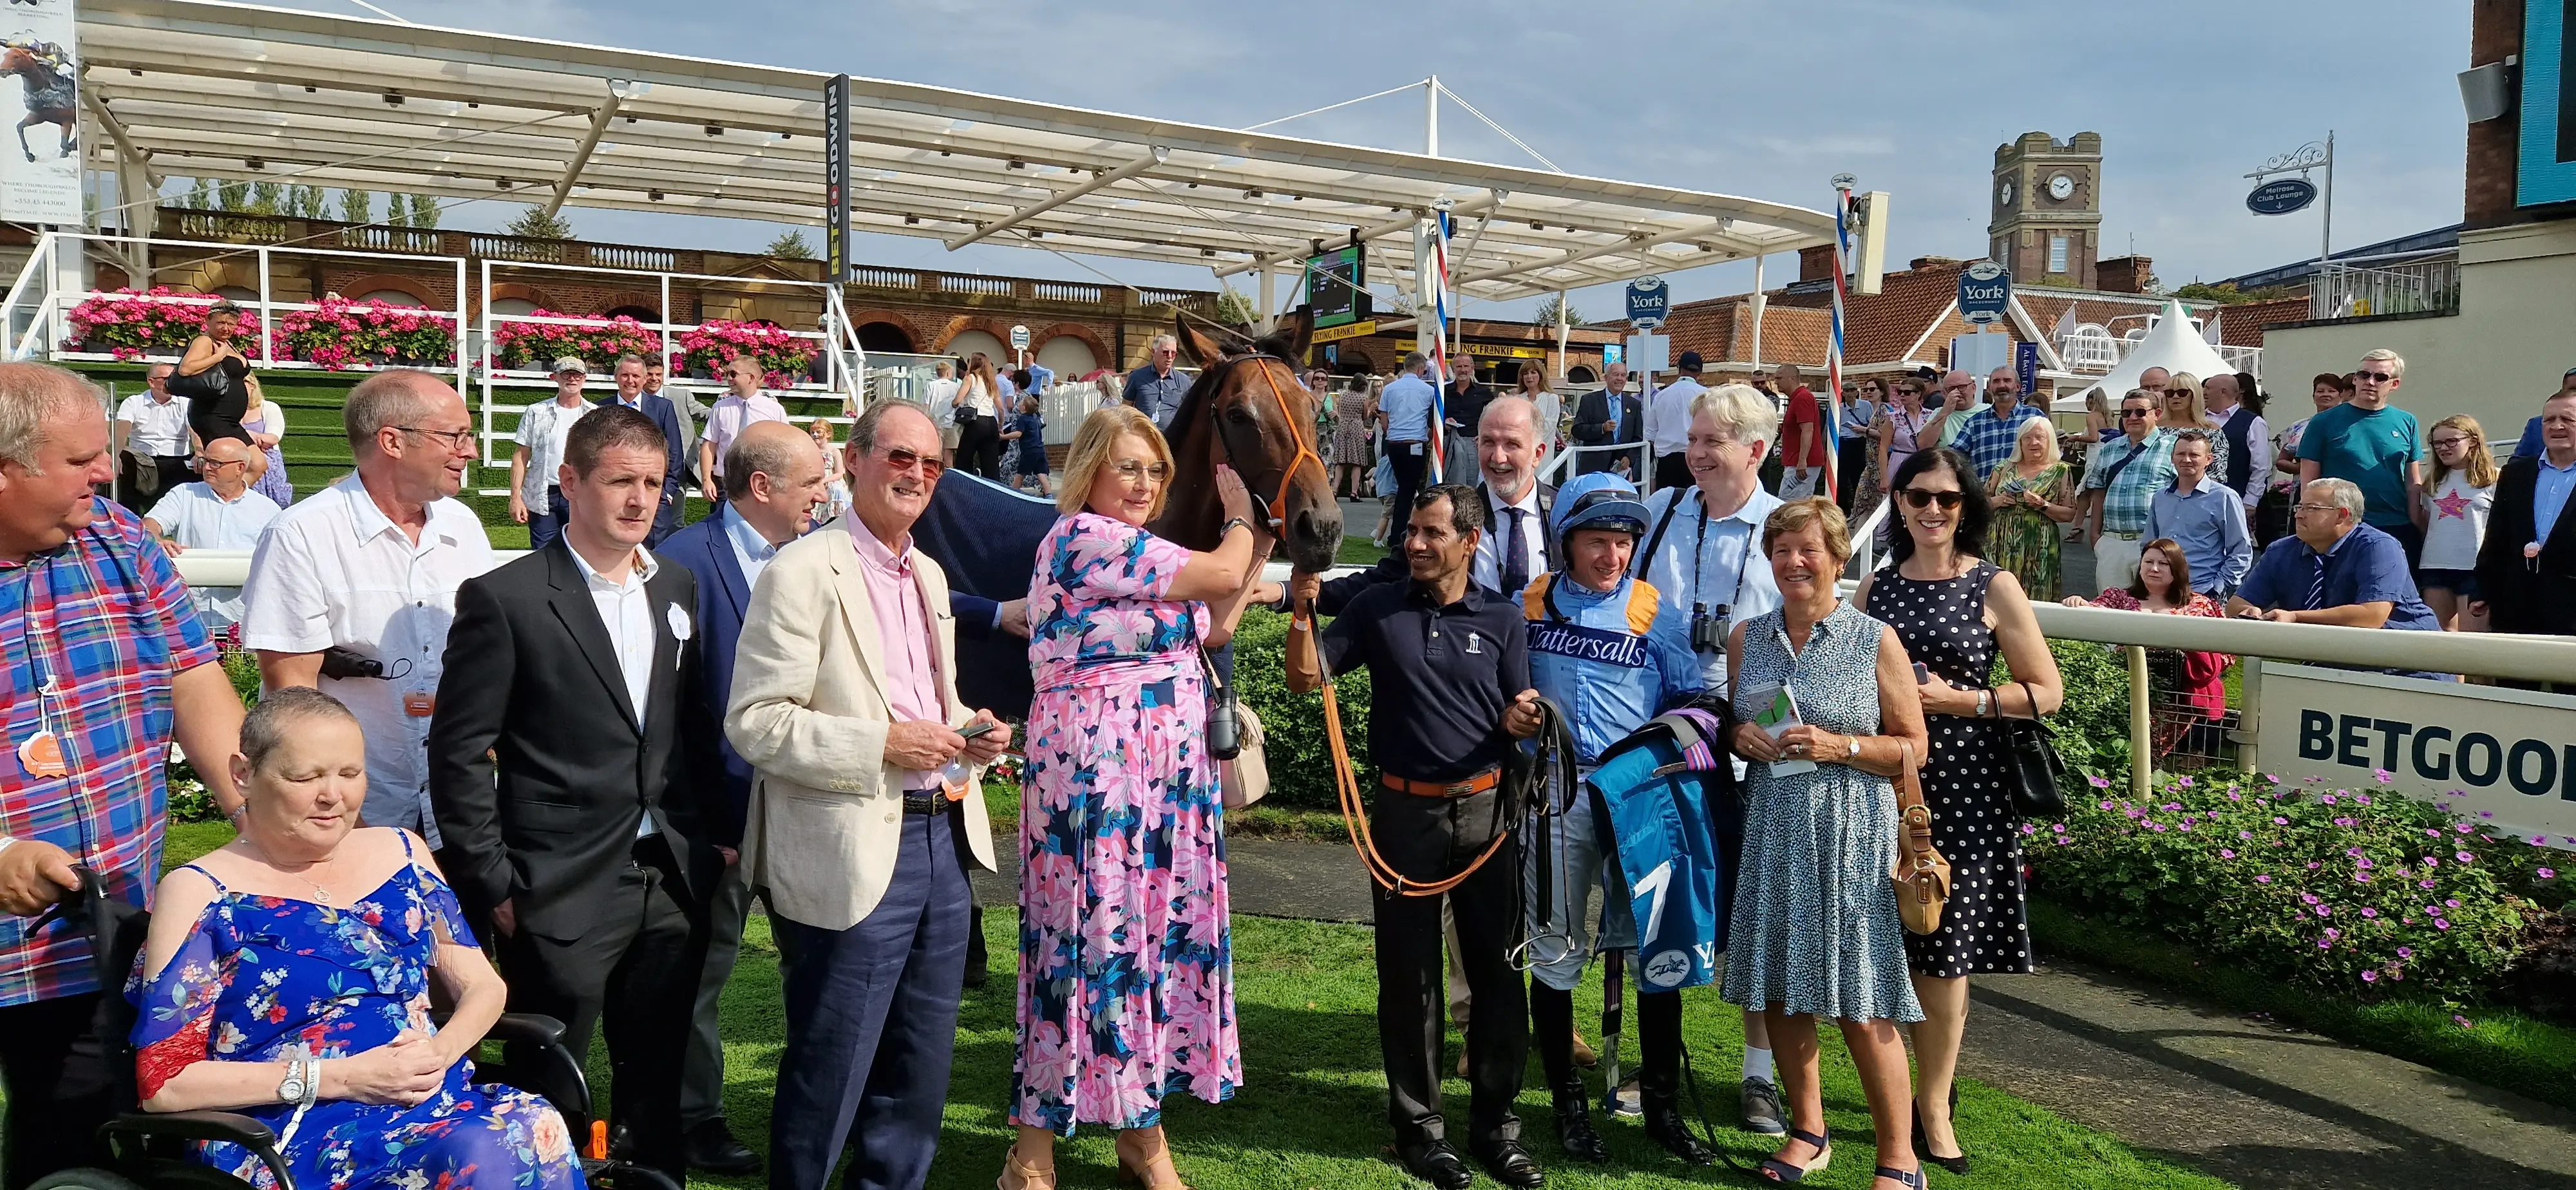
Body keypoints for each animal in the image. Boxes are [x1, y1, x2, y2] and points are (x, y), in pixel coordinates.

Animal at [1, 42, 73, 163]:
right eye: (5, 55)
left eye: (16, 57)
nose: (2, 71)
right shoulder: (38, 117)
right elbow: (19, 127)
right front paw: (29, 156)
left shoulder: (67, 121)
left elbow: (65, 145)